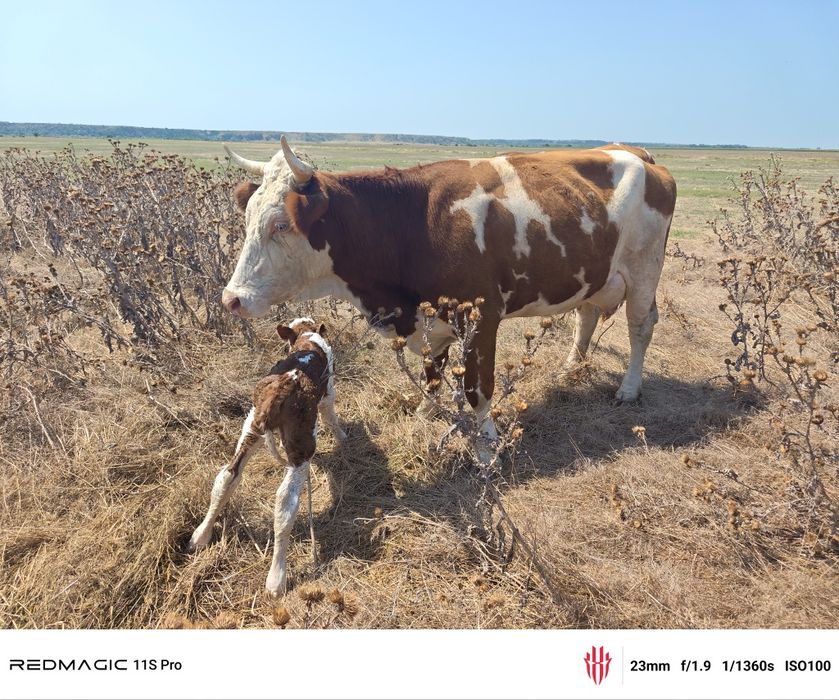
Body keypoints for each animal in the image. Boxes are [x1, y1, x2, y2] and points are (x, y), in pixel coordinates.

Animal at [221, 137, 676, 441]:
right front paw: (425, 412)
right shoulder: (430, 318)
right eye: (247, 217)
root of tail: (634, 151)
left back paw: (628, 389)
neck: (413, 221)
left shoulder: (483, 316)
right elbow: (433, 373)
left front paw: (488, 440)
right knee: (586, 314)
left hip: (644, 270)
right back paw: (569, 368)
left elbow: (478, 387)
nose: (232, 299)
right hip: (593, 274)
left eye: (281, 224)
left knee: (640, 327)